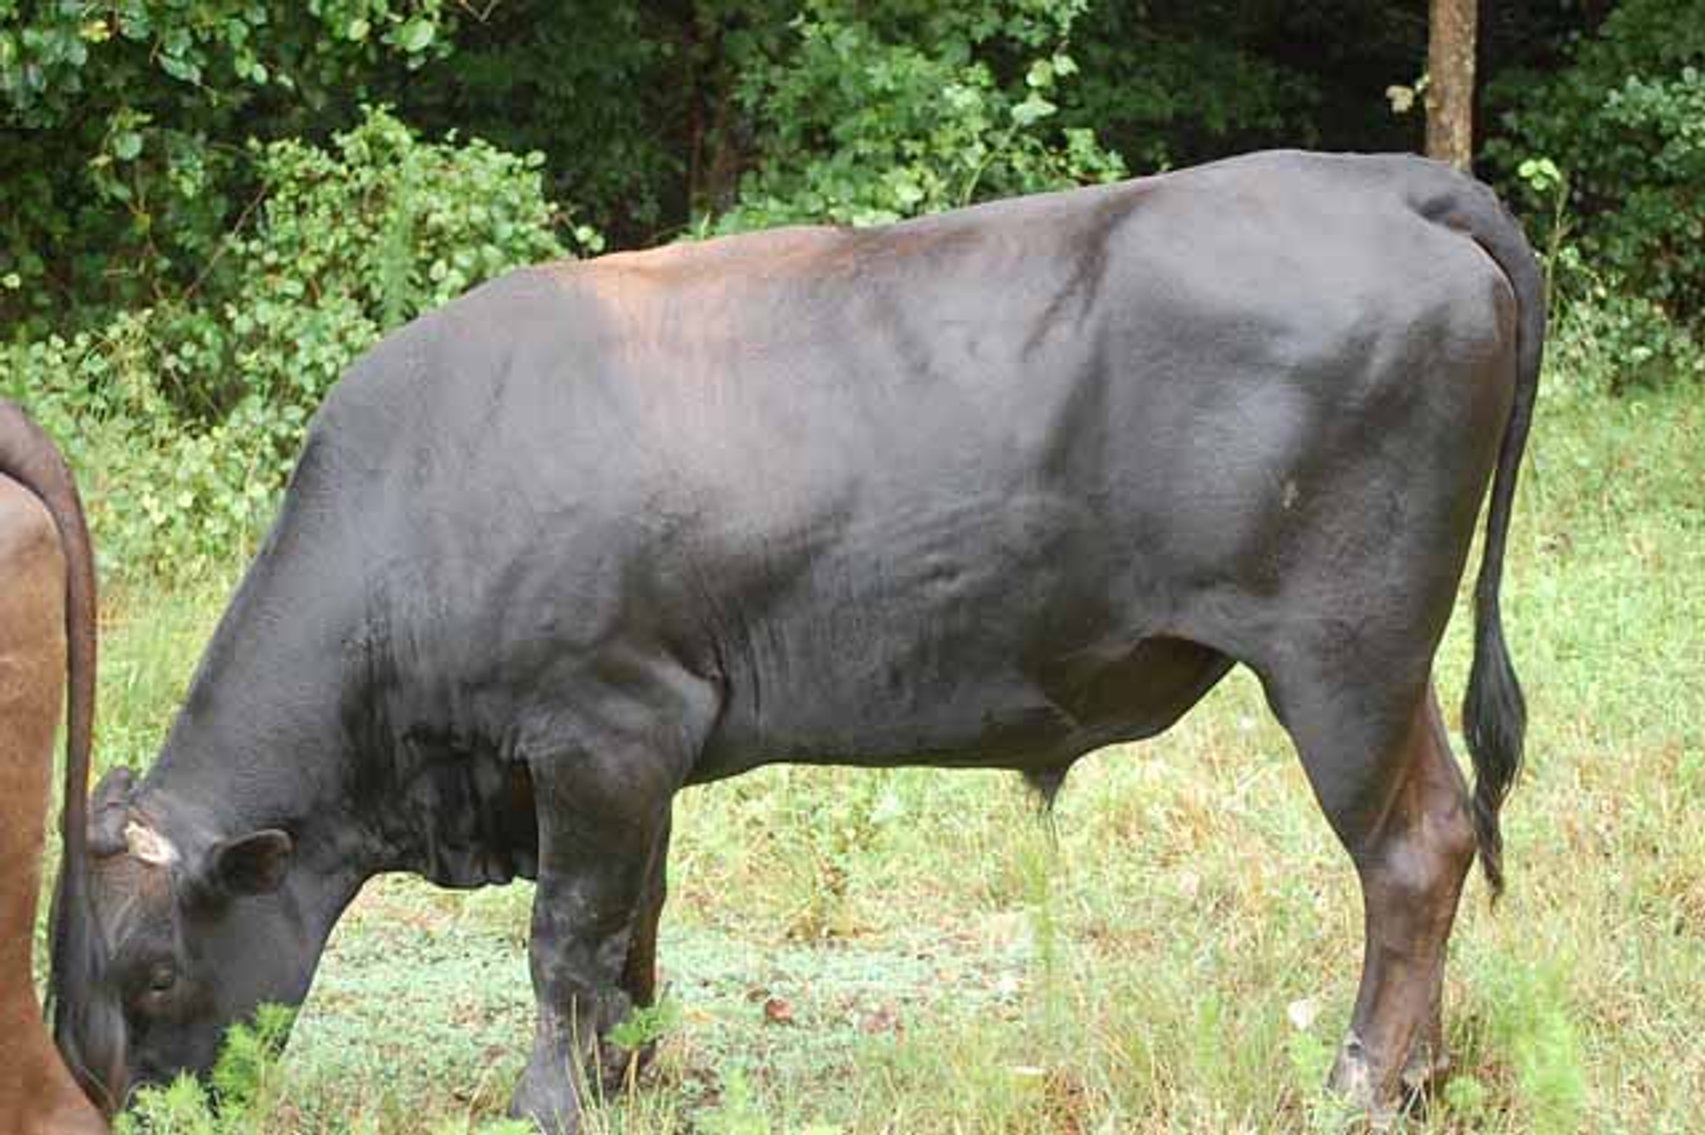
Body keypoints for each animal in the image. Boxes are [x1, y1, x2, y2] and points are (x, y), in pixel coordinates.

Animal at [53, 150, 1541, 1131]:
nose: (127, 1103)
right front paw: (639, 1077)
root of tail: (1381, 181)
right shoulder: (639, 749)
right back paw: (1420, 1074)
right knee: (1444, 826)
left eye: (158, 968)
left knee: (1412, 852)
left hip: (1341, 654)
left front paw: (554, 1101)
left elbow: (564, 939)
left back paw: (1362, 1082)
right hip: (1381, 665)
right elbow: (634, 930)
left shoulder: (598, 728)